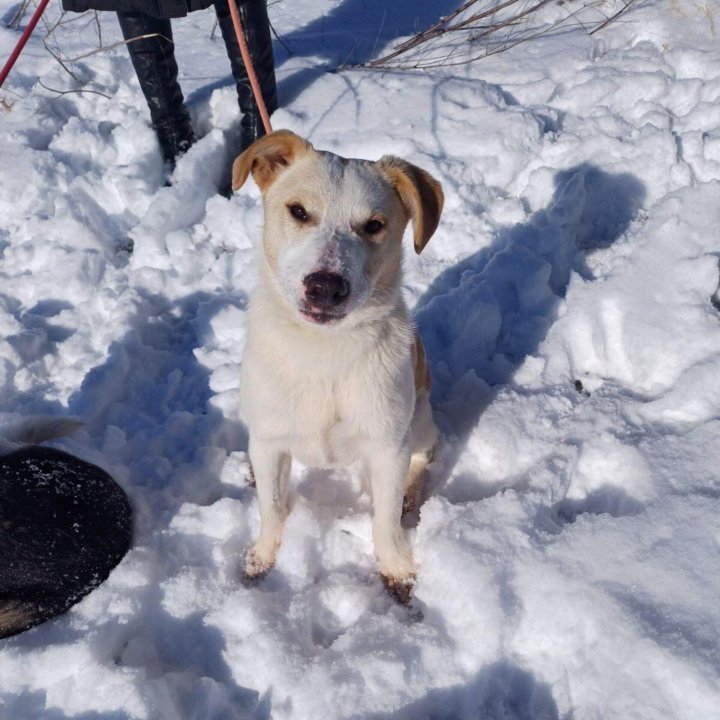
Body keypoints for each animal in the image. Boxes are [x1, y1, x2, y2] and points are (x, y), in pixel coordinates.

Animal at [232, 129, 444, 600]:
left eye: (374, 225)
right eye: (298, 211)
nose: (325, 287)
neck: (324, 353)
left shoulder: (387, 446)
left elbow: (385, 519)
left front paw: (396, 567)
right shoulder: (269, 440)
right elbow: (272, 507)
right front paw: (262, 556)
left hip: (419, 418)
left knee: (426, 454)